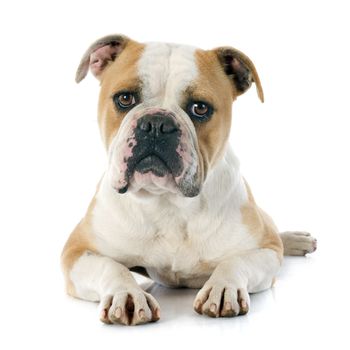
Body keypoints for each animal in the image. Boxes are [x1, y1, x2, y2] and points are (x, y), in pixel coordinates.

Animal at [60, 34, 318, 326]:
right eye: (125, 98)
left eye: (200, 108)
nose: (156, 124)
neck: (167, 203)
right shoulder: (77, 250)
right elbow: (111, 267)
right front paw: (126, 293)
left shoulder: (265, 249)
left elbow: (235, 261)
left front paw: (223, 287)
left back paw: (295, 240)